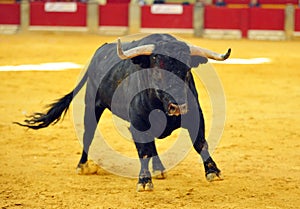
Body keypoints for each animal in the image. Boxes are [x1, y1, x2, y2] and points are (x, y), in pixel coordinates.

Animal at [15, 33, 230, 192]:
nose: (178, 107)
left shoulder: (195, 117)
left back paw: (159, 169)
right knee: (88, 134)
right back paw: (82, 166)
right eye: (157, 70)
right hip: (92, 106)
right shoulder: (137, 124)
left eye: (186, 70)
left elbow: (200, 143)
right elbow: (144, 151)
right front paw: (144, 182)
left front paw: (213, 171)